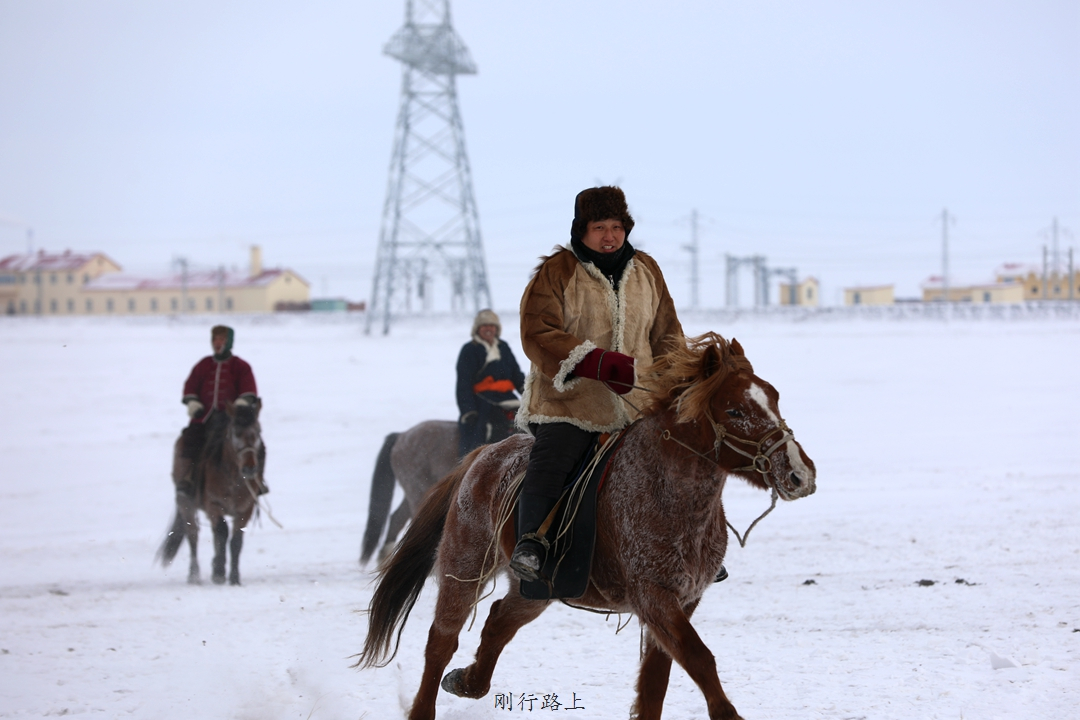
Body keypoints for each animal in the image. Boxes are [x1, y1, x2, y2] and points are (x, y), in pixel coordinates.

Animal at [156, 403, 265, 587]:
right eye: (235, 433)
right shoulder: (214, 504)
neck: (233, 479)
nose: (250, 468)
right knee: (193, 535)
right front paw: (220, 573)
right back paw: (194, 575)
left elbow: (236, 540)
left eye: (258, 431)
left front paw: (234, 577)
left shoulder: (246, 509)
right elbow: (222, 531)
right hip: (186, 503)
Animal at [358, 334, 812, 720]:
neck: (669, 492)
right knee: (442, 640)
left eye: (773, 398)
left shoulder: (683, 601)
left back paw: (469, 681)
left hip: (536, 588)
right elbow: (698, 658)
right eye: (734, 410)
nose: (799, 473)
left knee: (499, 620)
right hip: (464, 564)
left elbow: (656, 680)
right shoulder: (654, 596)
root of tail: (483, 454)